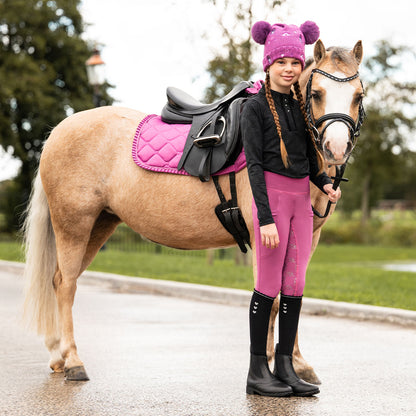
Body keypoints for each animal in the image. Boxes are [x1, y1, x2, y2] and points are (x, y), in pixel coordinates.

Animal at [22, 40, 364, 382]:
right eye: (316, 93)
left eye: (358, 95)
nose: (336, 148)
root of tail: (58, 131)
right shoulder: (265, 234)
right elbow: (273, 296)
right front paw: (270, 363)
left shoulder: (308, 238)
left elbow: (291, 292)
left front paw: (297, 363)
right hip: (74, 225)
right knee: (66, 284)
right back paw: (73, 360)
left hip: (100, 224)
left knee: (57, 280)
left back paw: (58, 355)